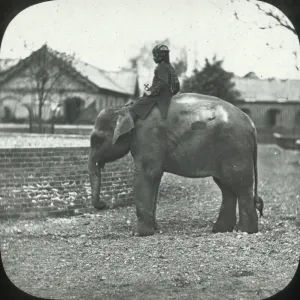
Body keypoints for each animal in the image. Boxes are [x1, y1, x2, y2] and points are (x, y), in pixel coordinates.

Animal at [88, 92, 264, 236]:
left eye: (96, 140)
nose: (103, 204)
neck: (128, 108)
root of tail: (252, 125)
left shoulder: (147, 137)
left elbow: (146, 174)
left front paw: (138, 233)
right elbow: (155, 178)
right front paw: (155, 229)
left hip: (235, 148)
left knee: (240, 185)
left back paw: (243, 231)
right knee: (226, 187)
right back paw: (220, 229)